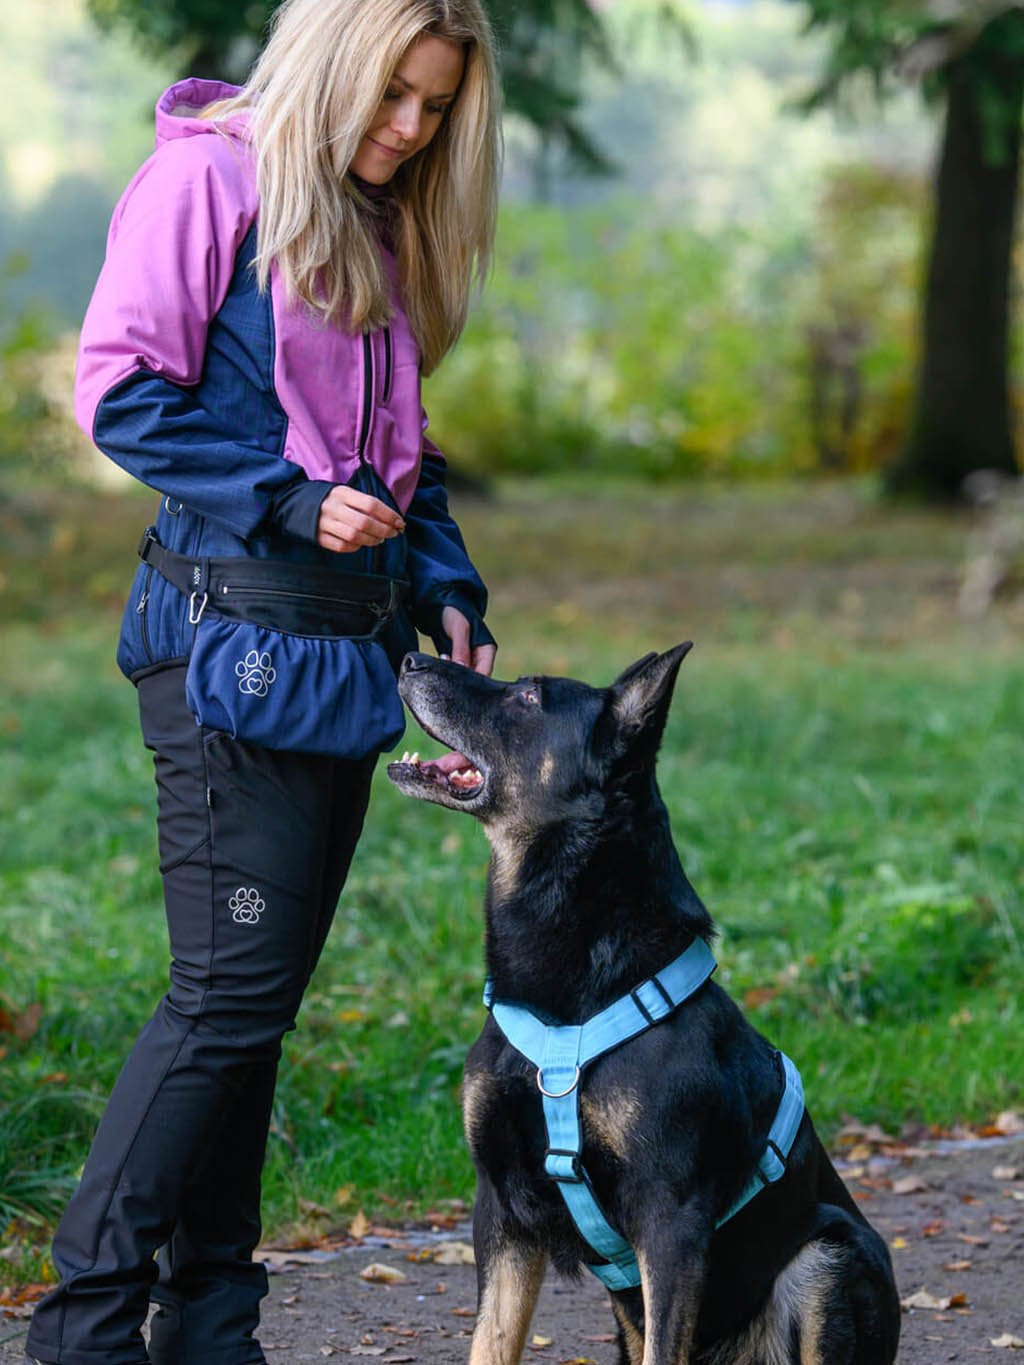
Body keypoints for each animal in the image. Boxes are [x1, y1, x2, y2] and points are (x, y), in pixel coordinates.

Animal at [387, 647, 901, 1365]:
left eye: (527, 697)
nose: (408, 655)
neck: (570, 997)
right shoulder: (502, 1210)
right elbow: (489, 1343)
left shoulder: (670, 1221)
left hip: (832, 1254)